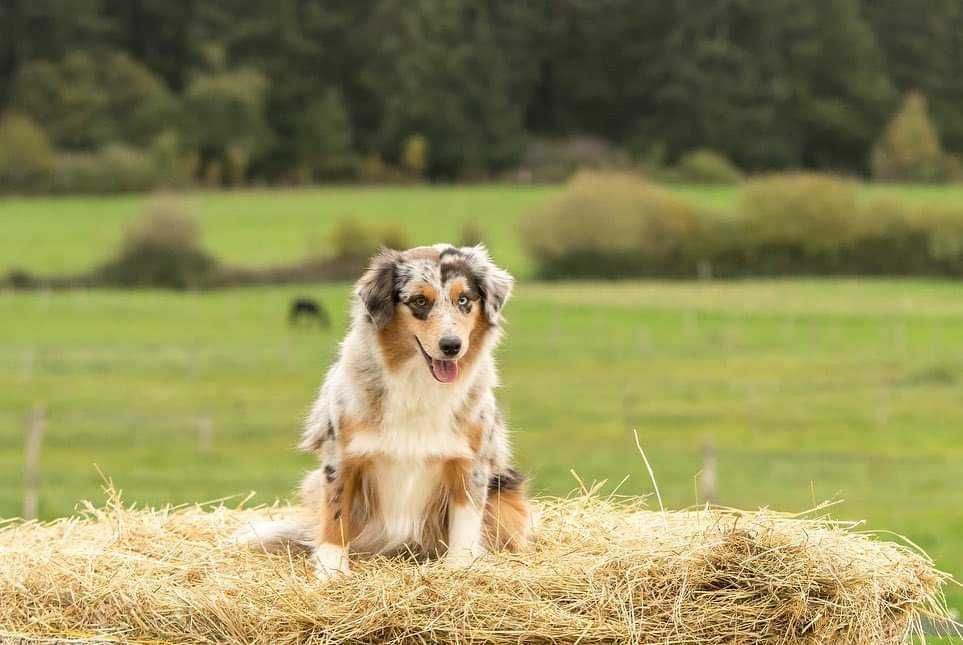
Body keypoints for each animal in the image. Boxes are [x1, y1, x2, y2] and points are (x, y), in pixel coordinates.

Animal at [236, 243, 532, 580]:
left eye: (464, 300)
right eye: (419, 301)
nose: (452, 346)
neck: (418, 383)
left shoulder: (471, 459)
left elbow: (466, 518)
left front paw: (460, 567)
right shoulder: (341, 452)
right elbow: (335, 514)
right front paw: (331, 571)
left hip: (507, 495)